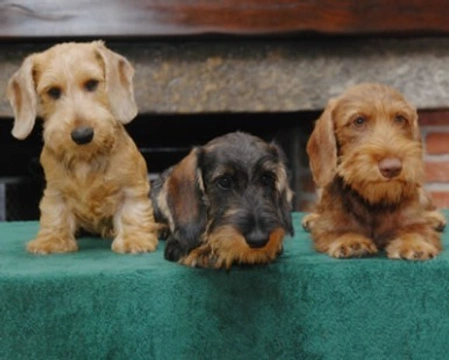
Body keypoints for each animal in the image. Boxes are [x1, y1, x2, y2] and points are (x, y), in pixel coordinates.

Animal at [7, 40, 158, 255]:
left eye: (92, 84)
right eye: (53, 91)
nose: (82, 135)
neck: (86, 158)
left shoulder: (131, 186)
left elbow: (132, 211)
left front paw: (134, 238)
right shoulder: (55, 191)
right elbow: (55, 214)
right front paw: (52, 240)